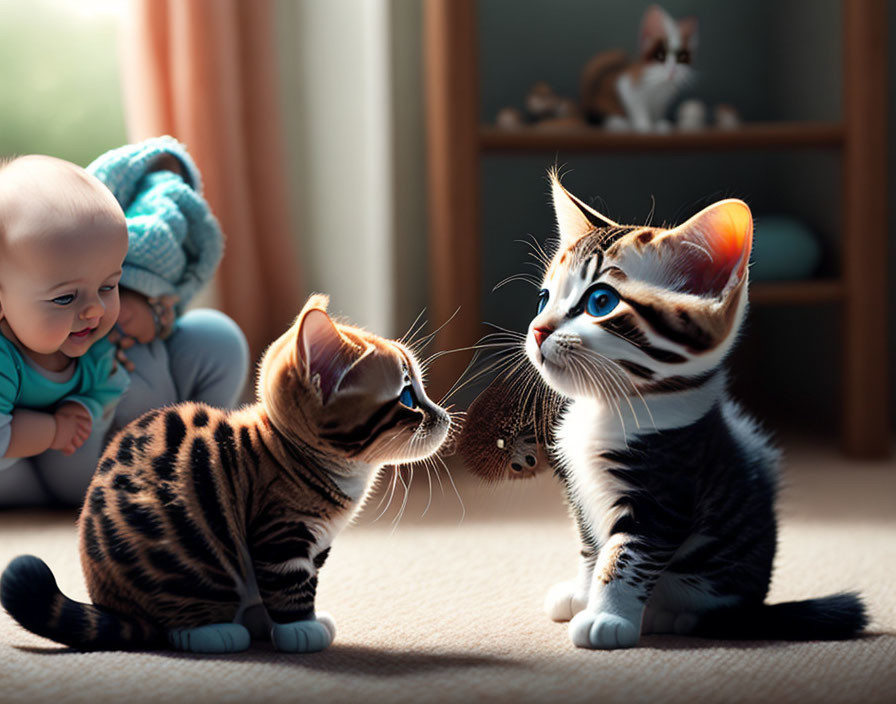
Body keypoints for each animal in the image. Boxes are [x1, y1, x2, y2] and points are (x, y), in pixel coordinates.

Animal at [0, 294, 448, 652]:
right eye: (408, 398)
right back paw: (215, 632)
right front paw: (300, 630)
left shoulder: (315, 547)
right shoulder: (280, 535)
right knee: (173, 625)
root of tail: (112, 603)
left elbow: (285, 589)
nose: (444, 415)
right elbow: (290, 589)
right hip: (191, 556)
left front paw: (276, 621)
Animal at [458, 172, 864, 648]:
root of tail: (756, 607)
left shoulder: (664, 491)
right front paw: (582, 592)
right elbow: (591, 543)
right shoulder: (579, 488)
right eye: (544, 299)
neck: (605, 409)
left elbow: (627, 556)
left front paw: (607, 616)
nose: (537, 330)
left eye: (600, 302)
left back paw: (675, 617)